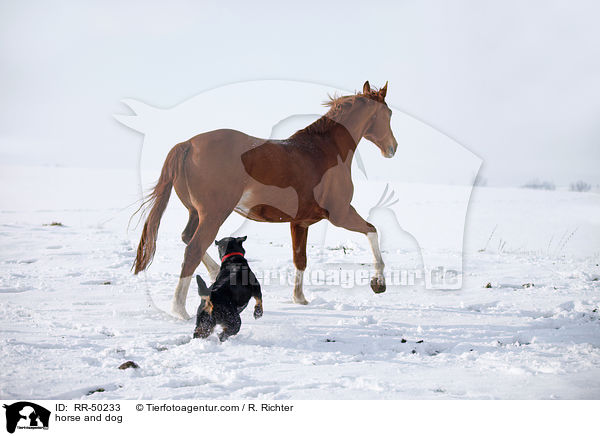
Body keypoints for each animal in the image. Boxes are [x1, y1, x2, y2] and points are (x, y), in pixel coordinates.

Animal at [133, 82, 396, 320]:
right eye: (389, 114)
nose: (393, 148)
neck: (325, 151)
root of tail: (187, 144)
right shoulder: (340, 213)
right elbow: (372, 231)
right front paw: (378, 282)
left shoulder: (300, 223)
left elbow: (300, 259)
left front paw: (300, 299)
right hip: (214, 215)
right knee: (193, 250)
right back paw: (180, 310)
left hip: (196, 213)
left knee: (188, 238)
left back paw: (214, 274)